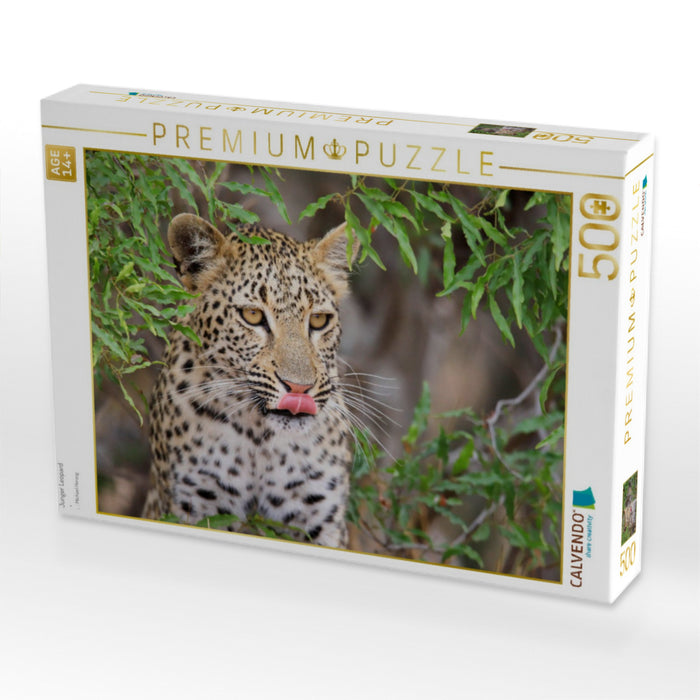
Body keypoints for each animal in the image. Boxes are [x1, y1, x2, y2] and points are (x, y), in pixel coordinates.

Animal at [142, 212, 360, 548]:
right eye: (253, 316)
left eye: (319, 320)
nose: (299, 388)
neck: (261, 439)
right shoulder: (196, 505)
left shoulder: (320, 517)